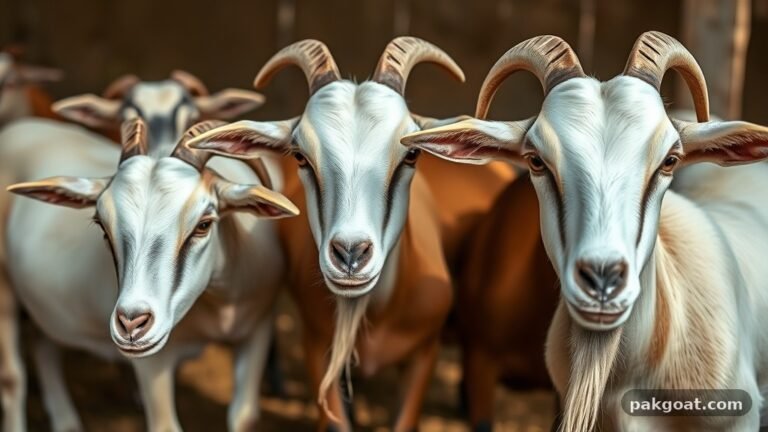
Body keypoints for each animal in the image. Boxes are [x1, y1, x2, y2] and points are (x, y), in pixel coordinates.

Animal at [1, 118, 297, 432]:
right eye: (102, 226)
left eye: (204, 224)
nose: (131, 325)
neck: (221, 307)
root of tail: (21, 126)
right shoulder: (152, 363)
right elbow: (165, 425)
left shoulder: (258, 329)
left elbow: (244, 416)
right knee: (12, 377)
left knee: (45, 345)